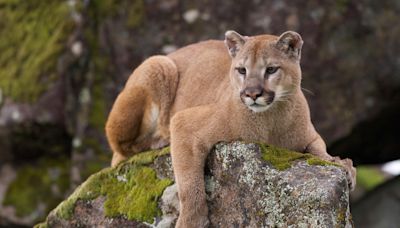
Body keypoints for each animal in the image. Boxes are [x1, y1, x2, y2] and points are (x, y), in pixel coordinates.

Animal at [105, 30, 356, 228]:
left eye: (271, 69)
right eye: (242, 70)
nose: (252, 94)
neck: (270, 121)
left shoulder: (310, 136)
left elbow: (320, 150)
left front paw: (342, 164)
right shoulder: (184, 124)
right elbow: (190, 185)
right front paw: (191, 222)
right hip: (158, 64)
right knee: (120, 149)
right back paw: (160, 140)